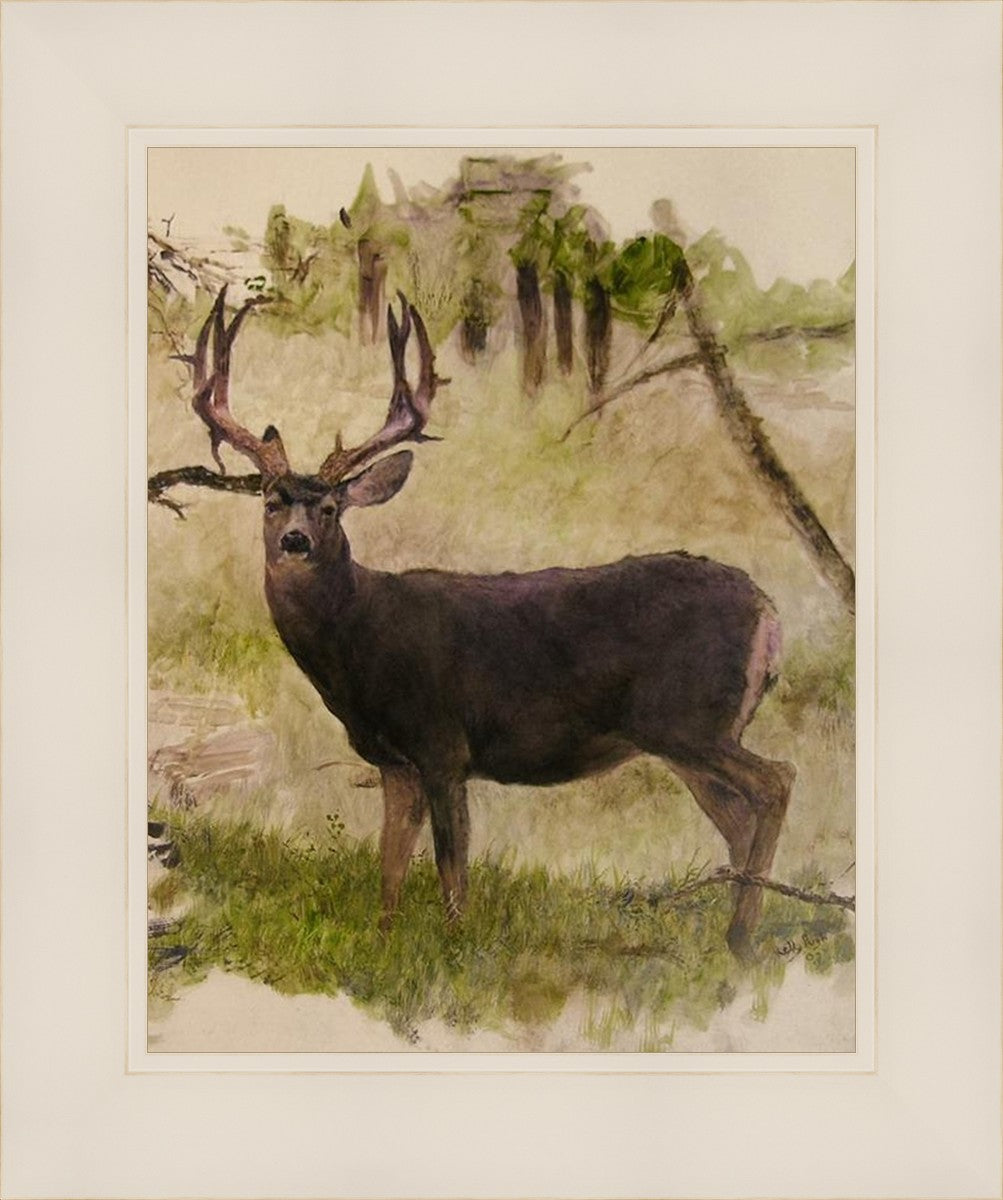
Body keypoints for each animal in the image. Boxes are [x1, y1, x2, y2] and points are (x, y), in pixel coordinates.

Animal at [174, 286, 795, 960]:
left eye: (332, 507)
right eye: (271, 501)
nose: (295, 541)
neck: (360, 644)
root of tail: (770, 612)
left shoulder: (444, 744)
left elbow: (452, 871)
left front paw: (452, 949)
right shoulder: (396, 763)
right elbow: (390, 867)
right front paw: (384, 943)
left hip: (690, 718)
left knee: (776, 781)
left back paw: (742, 936)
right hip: (683, 735)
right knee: (738, 817)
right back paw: (735, 938)